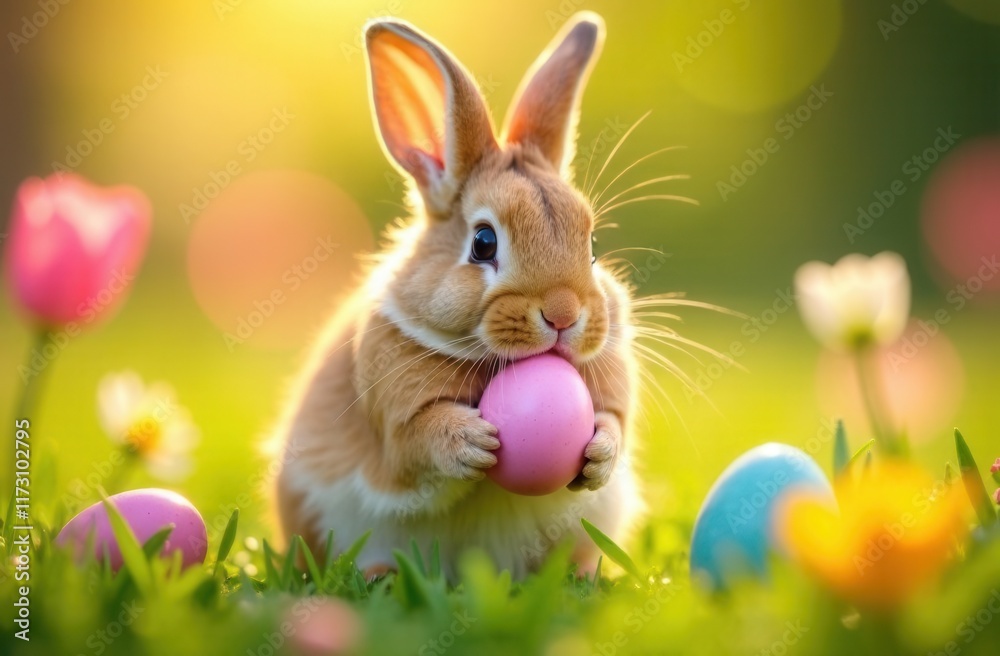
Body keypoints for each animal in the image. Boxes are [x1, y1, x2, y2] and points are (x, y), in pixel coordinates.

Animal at [272, 11, 646, 581]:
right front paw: (472, 443)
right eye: (483, 242)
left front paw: (599, 452)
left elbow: (614, 422)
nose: (564, 315)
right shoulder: (394, 410)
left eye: (593, 245)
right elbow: (416, 437)